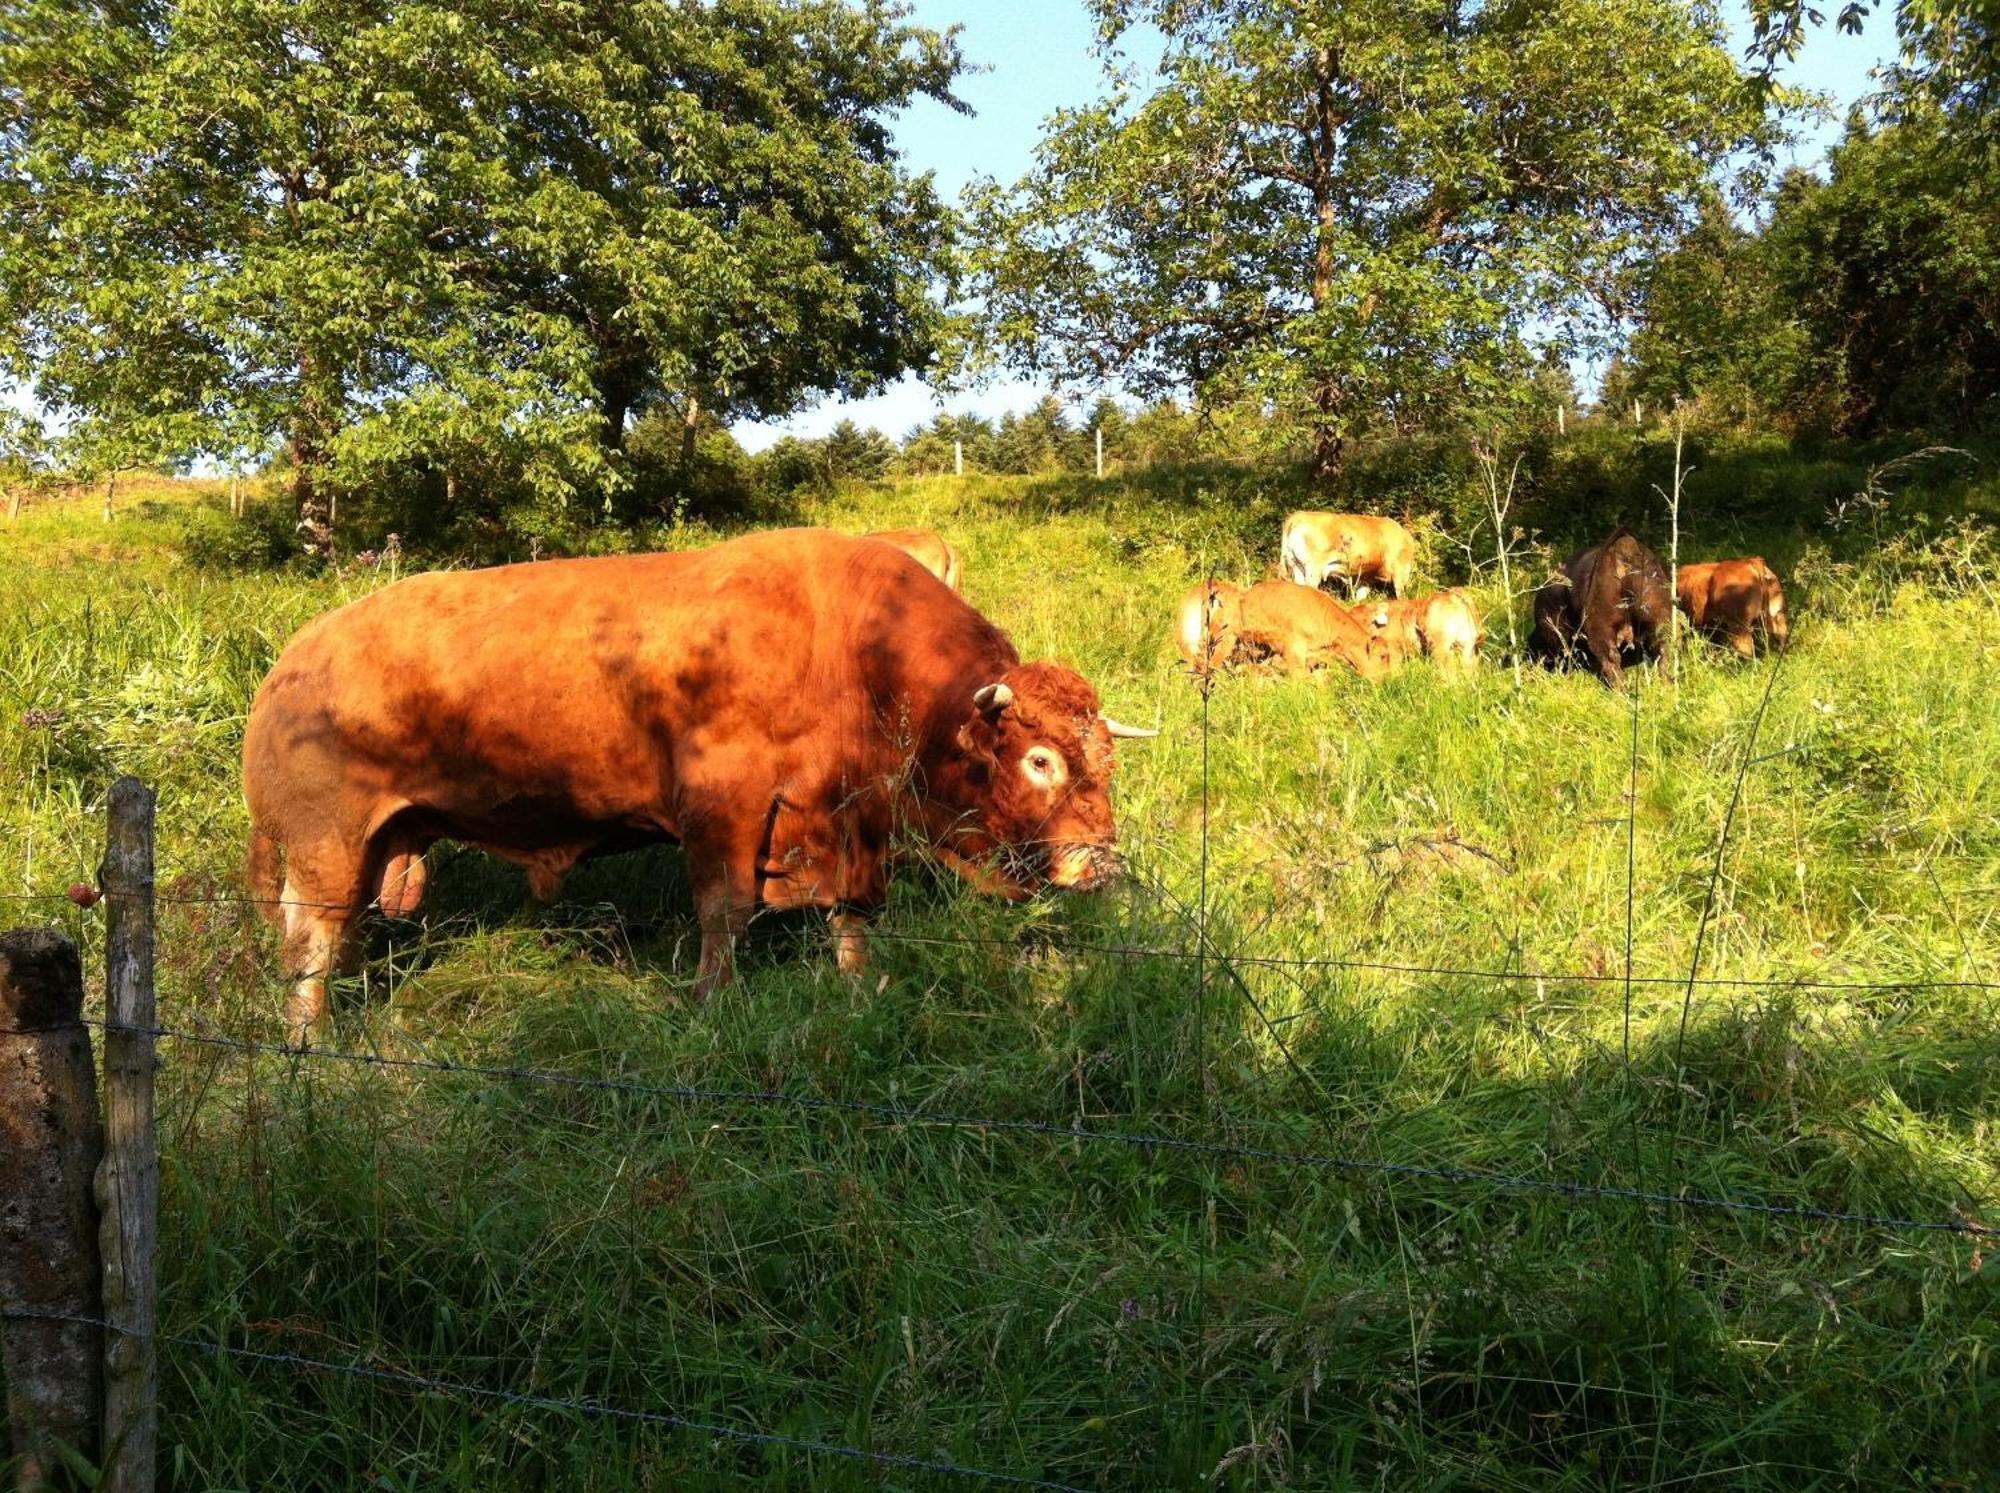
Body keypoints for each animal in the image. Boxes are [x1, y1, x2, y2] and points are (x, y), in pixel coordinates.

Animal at [244, 528, 1160, 1032]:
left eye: (1106, 761)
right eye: (1040, 759)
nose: (1099, 863)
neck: (847, 645)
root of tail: (293, 658)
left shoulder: (848, 823)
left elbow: (853, 914)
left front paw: (861, 986)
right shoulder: (724, 807)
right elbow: (725, 910)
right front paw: (714, 1002)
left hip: (376, 845)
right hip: (326, 845)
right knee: (311, 939)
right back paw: (305, 1036)